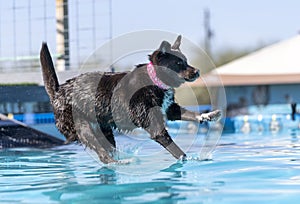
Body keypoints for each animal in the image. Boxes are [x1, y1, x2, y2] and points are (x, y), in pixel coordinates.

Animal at [39, 34, 221, 163]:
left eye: (186, 61)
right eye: (178, 63)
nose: (197, 71)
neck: (154, 80)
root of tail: (57, 91)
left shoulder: (170, 109)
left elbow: (189, 114)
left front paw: (207, 115)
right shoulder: (156, 128)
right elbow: (177, 151)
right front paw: (188, 160)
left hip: (105, 131)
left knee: (107, 150)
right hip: (84, 129)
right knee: (103, 156)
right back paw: (119, 162)